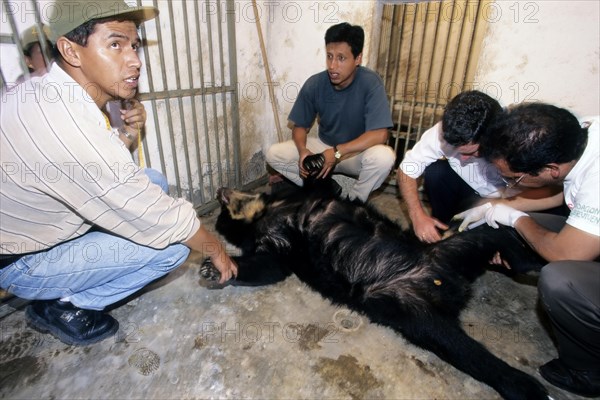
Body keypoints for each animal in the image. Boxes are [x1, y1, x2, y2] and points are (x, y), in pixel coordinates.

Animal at [202, 185, 548, 400]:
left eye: (227, 203)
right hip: (413, 308)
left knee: (491, 232)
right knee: (461, 347)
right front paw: (217, 268)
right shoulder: (276, 244)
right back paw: (523, 383)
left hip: (451, 249)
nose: (220, 190)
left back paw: (531, 257)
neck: (268, 212)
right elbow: (270, 265)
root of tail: (449, 286)